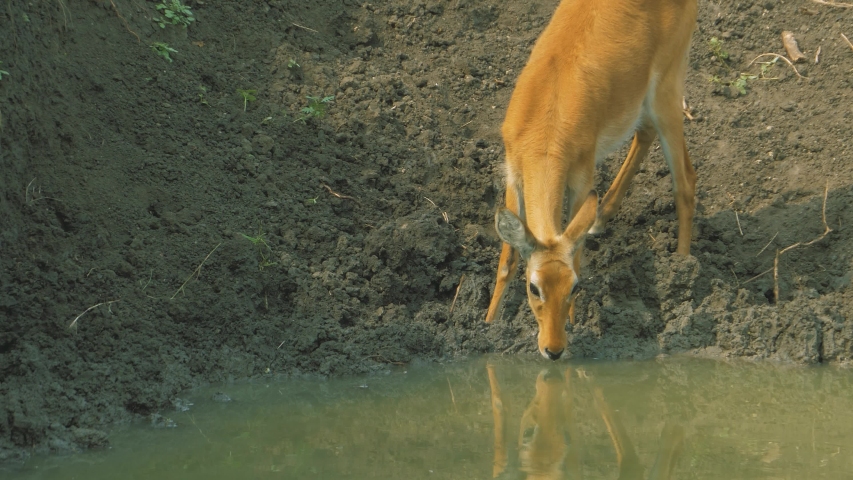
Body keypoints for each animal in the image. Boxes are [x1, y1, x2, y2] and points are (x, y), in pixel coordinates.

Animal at [485, 0, 699, 360]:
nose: (553, 350)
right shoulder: (513, 173)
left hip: (667, 91)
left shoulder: (581, 177)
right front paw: (487, 324)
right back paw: (603, 218)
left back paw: (681, 269)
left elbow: (578, 254)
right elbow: (508, 260)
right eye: (533, 287)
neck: (546, 123)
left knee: (684, 181)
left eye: (574, 286)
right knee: (647, 135)